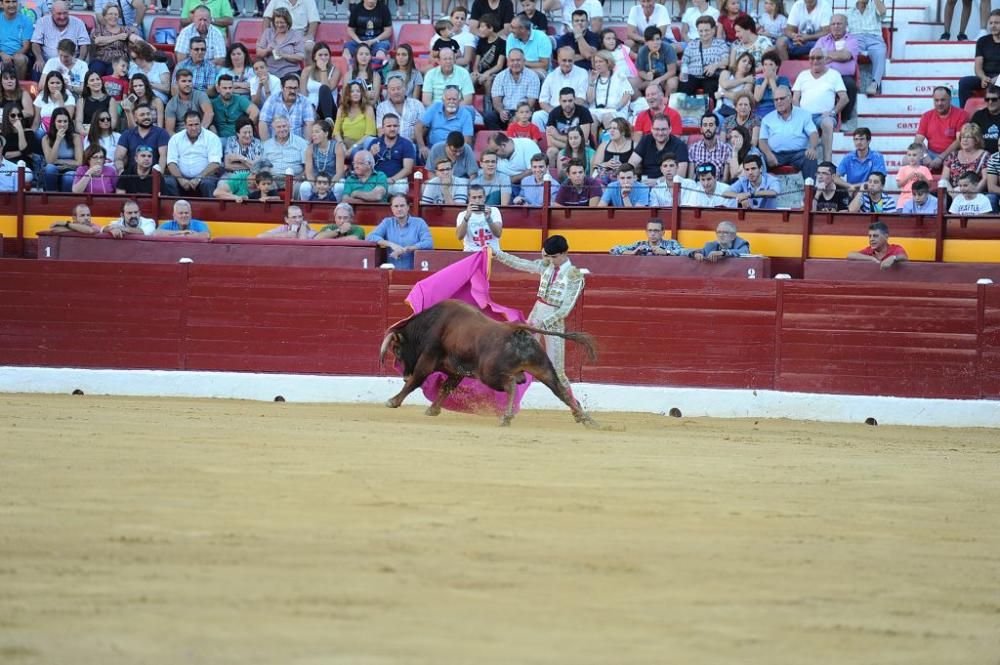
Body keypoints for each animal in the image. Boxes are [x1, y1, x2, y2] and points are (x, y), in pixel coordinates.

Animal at [378, 300, 596, 428]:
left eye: (397, 350)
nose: (403, 374)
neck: (430, 324)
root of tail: (516, 330)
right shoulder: (457, 371)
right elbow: (446, 388)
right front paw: (433, 410)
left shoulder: (428, 358)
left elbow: (415, 381)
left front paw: (393, 401)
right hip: (543, 369)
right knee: (561, 390)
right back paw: (587, 420)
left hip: (489, 374)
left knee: (510, 385)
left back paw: (506, 417)